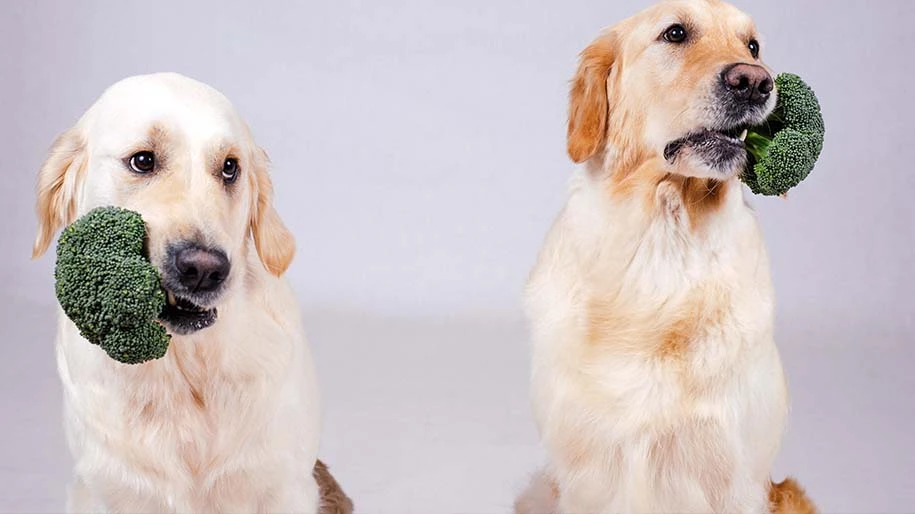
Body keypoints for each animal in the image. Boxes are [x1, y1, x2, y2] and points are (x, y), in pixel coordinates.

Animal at [34, 72, 348, 512]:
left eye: (230, 168)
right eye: (143, 161)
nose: (204, 270)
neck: (187, 366)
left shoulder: (288, 485)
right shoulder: (104, 489)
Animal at [524, 1, 816, 512]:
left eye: (752, 46)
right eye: (675, 33)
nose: (755, 81)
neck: (663, 240)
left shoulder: (734, 476)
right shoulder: (584, 473)